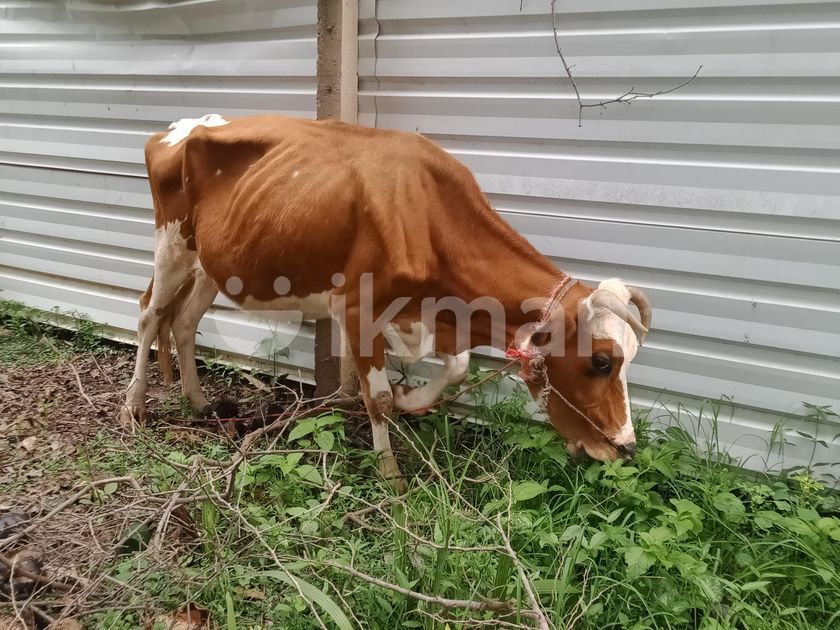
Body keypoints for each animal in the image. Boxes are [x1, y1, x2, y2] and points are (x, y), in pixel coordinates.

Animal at [121, 114, 652, 488]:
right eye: (602, 362)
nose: (626, 448)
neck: (429, 215)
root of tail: (178, 127)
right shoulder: (358, 310)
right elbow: (374, 399)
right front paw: (390, 474)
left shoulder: (430, 316)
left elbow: (456, 368)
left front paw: (410, 398)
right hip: (172, 245)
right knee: (149, 312)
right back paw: (135, 407)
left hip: (212, 263)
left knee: (185, 320)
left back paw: (197, 402)